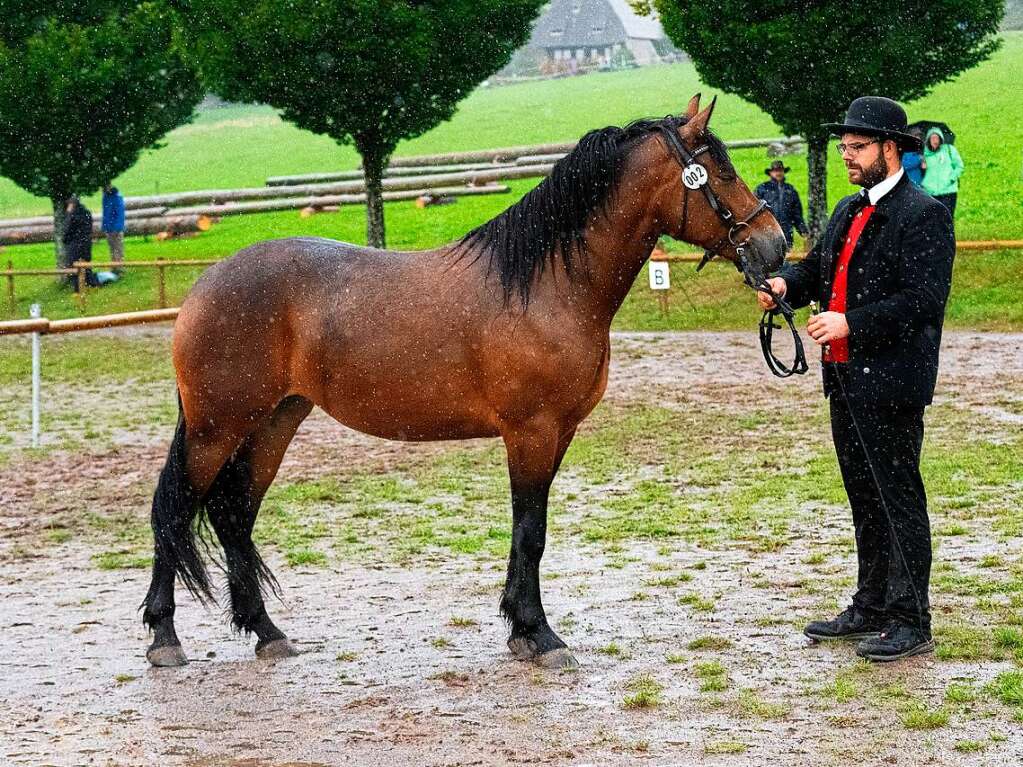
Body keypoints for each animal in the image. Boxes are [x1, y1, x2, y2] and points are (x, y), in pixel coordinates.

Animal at [142, 96, 781, 670]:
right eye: (722, 171)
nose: (773, 247)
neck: (543, 284)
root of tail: (205, 287)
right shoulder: (530, 431)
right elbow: (531, 530)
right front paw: (540, 635)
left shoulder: (561, 432)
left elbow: (530, 530)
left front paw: (521, 631)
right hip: (216, 429)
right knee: (173, 511)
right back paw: (165, 639)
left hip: (274, 422)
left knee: (233, 516)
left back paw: (267, 633)